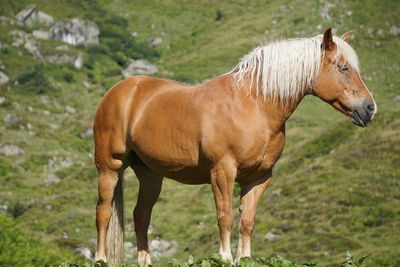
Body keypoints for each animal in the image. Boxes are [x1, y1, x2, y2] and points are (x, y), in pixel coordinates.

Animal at [94, 28, 378, 264]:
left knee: (141, 215)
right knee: (104, 212)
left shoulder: (259, 178)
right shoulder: (222, 172)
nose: (369, 108)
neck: (254, 105)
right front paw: (225, 257)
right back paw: (100, 258)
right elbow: (226, 217)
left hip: (150, 174)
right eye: (342, 67)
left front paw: (245, 258)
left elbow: (247, 221)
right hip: (109, 167)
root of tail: (120, 90)